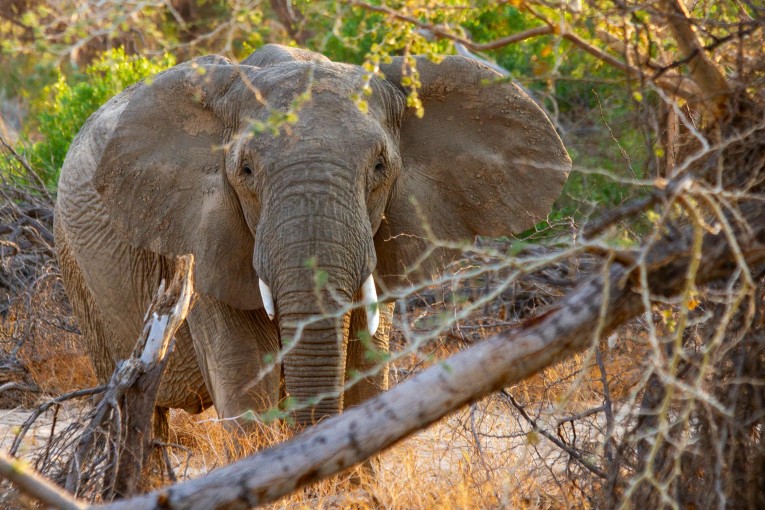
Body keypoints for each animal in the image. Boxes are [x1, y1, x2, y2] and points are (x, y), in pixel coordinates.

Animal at [53, 44, 572, 426]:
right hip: (79, 273)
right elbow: (245, 379)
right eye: (245, 170)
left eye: (380, 166)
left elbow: (366, 366)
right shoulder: (199, 239)